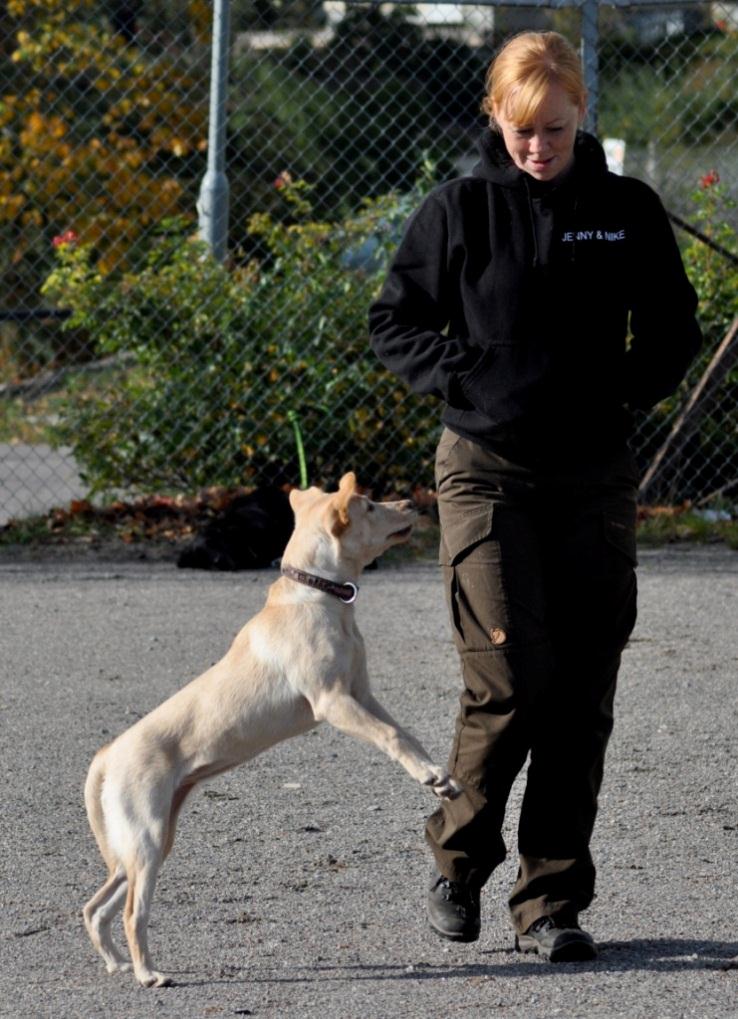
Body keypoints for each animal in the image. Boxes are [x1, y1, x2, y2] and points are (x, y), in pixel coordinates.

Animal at [82, 474, 460, 986]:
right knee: (129, 913)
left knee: (95, 907)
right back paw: (147, 973)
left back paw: (117, 962)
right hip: (146, 838)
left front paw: (439, 776)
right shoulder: (333, 702)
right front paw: (429, 776)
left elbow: (407, 735)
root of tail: (108, 755)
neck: (317, 597)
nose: (412, 504)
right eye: (368, 506)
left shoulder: (362, 695)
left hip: (148, 842)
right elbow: (391, 737)